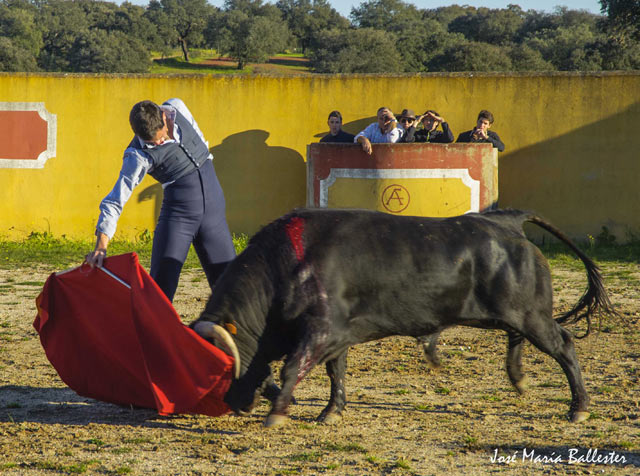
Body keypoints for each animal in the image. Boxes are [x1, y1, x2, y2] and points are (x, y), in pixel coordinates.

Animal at [191, 208, 616, 428]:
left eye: (222, 366)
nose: (235, 404)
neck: (285, 266)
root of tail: (505, 220)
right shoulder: (336, 334)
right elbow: (334, 371)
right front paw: (330, 412)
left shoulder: (321, 328)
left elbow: (293, 366)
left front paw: (278, 414)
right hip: (515, 313)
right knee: (516, 338)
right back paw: (520, 379)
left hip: (531, 314)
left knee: (563, 345)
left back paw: (578, 407)